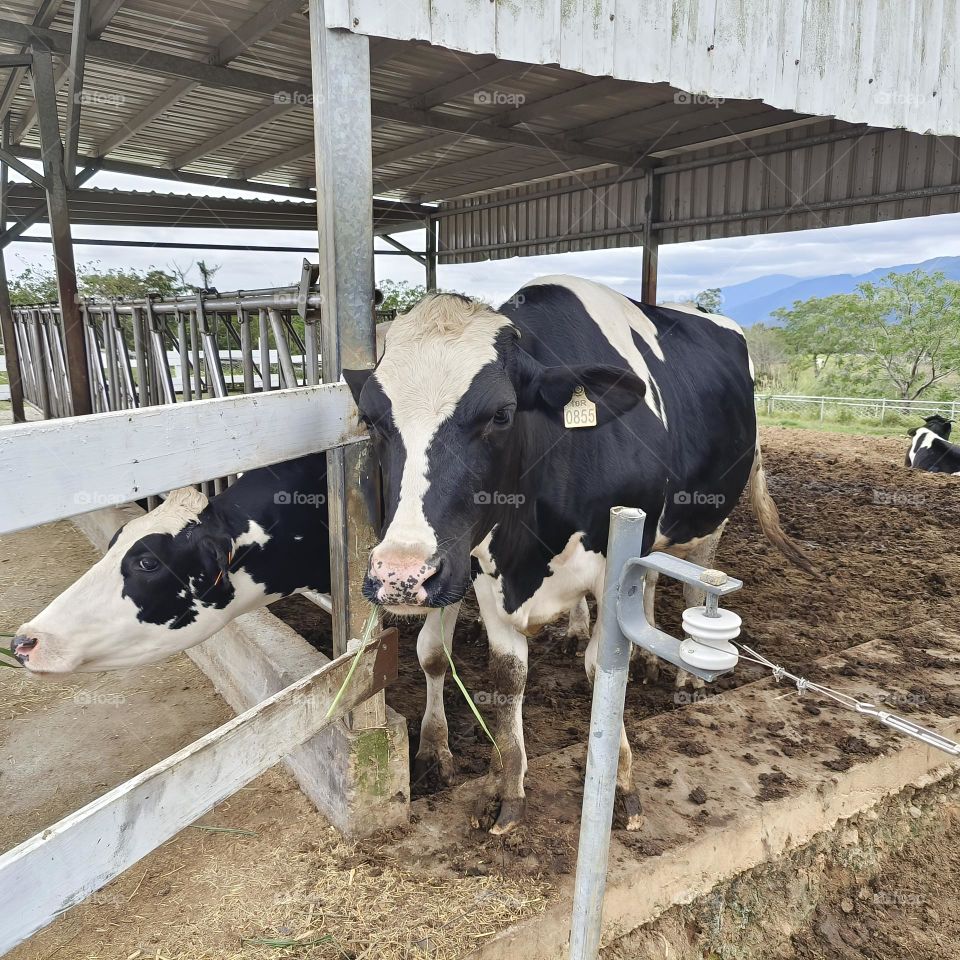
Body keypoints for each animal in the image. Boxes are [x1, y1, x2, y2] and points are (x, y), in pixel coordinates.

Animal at [344, 275, 813, 834]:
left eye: (501, 413)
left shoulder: (614, 562)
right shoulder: (478, 568)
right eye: (372, 419)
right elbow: (498, 673)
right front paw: (505, 788)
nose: (400, 574)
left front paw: (621, 784)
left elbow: (605, 664)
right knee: (650, 584)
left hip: (706, 523)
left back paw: (685, 679)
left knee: (690, 588)